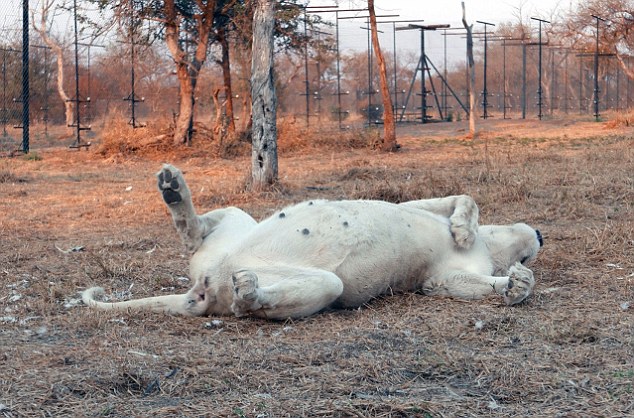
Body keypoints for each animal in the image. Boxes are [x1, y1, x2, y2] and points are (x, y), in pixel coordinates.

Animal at [81, 164, 540, 320]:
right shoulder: (420, 205)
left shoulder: (440, 280)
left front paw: (518, 285)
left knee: (250, 302)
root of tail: (200, 288)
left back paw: (249, 291)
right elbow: (466, 197)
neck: (491, 248)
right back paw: (173, 187)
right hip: (238, 225)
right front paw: (463, 229)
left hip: (317, 282)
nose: (540, 234)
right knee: (194, 233)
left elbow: (476, 282)